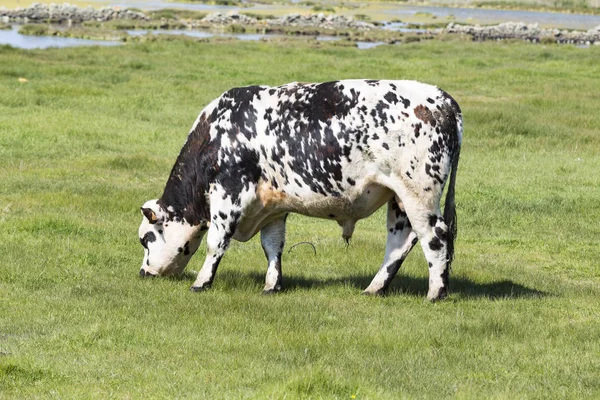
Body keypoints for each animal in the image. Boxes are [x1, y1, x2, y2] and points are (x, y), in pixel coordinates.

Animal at [138, 79, 462, 300]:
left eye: (146, 239)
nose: (143, 273)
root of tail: (443, 99)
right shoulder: (271, 207)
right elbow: (272, 245)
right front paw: (272, 285)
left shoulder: (229, 193)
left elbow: (216, 242)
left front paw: (201, 283)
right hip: (398, 198)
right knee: (400, 242)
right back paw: (374, 288)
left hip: (418, 193)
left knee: (435, 236)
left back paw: (436, 293)